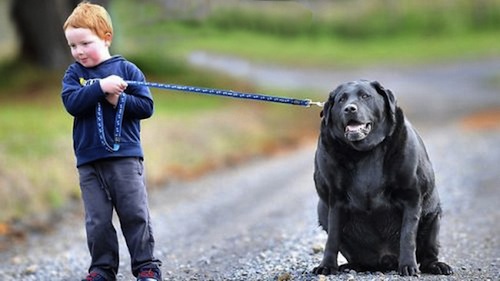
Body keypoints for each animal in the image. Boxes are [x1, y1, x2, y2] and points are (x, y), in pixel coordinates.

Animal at [312, 79, 454, 276]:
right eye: (341, 100)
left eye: (365, 96)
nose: (350, 109)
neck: (365, 152)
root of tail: (384, 260)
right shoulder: (335, 199)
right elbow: (332, 237)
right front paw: (326, 265)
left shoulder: (412, 196)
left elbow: (407, 236)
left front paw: (408, 266)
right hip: (322, 212)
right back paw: (351, 266)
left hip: (433, 216)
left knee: (428, 254)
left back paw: (437, 265)